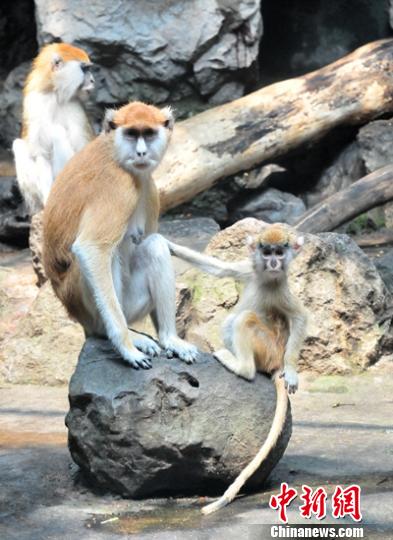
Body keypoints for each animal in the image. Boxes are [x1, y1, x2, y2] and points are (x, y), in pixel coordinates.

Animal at [13, 41, 95, 214]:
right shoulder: (34, 103)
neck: (54, 93)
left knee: (57, 132)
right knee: (18, 145)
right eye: (85, 69)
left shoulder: (75, 106)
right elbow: (40, 154)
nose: (92, 81)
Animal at [43, 100, 198, 370]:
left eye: (148, 133)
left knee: (154, 245)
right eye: (131, 134)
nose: (141, 153)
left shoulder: (150, 189)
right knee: (109, 256)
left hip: (131, 305)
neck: (113, 151)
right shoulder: (118, 186)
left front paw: (170, 340)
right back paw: (123, 336)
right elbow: (90, 249)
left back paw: (168, 337)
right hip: (88, 306)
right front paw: (127, 347)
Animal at [167, 225, 308, 516]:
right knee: (231, 320)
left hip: (266, 348)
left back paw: (242, 366)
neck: (266, 277)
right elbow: (220, 269)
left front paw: (292, 372)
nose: (273, 262)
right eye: (267, 252)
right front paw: (168, 245)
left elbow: (299, 317)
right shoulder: (249, 268)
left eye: (280, 252)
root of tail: (275, 363)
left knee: (242, 319)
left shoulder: (279, 288)